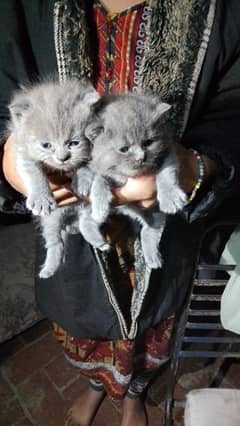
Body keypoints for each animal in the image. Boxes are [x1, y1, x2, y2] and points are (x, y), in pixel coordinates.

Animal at [7, 78, 107, 278]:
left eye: (74, 143)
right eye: (46, 145)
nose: (62, 158)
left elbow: (86, 164)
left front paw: (81, 181)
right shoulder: (21, 151)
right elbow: (32, 171)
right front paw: (41, 198)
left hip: (86, 207)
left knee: (85, 223)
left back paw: (96, 240)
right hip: (52, 219)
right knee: (56, 242)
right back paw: (49, 269)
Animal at [82, 93, 188, 268]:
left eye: (148, 142)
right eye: (124, 149)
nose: (141, 158)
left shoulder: (168, 153)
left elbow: (166, 174)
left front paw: (170, 198)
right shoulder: (100, 167)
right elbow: (99, 179)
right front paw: (100, 205)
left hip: (150, 210)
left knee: (151, 227)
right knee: (84, 220)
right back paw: (98, 240)